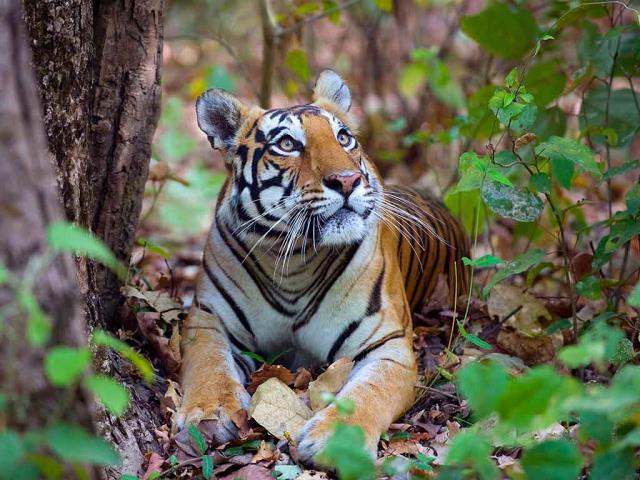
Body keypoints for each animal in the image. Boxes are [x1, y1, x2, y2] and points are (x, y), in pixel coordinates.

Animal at [175, 69, 470, 463]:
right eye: (287, 144)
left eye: (343, 138)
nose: (347, 180)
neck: (294, 262)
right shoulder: (209, 318)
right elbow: (209, 365)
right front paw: (209, 413)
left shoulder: (386, 344)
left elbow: (369, 393)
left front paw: (339, 441)